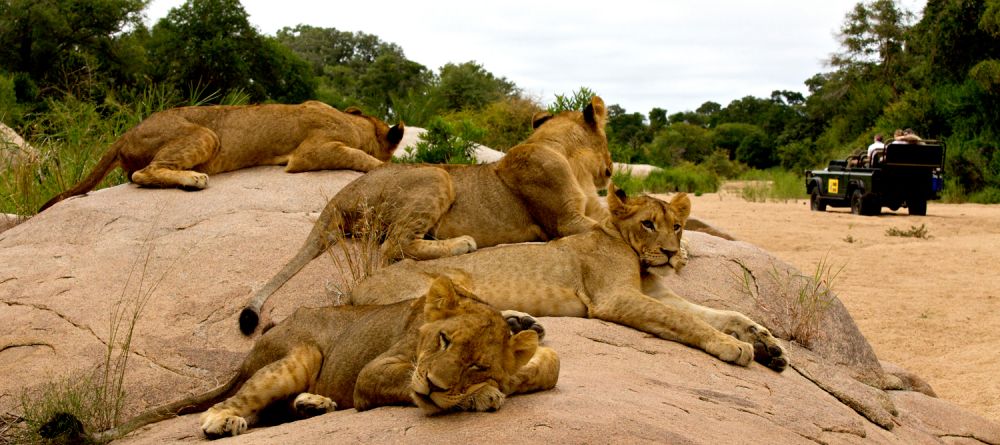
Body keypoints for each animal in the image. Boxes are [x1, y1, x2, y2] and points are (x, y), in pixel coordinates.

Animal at [38, 101, 406, 212]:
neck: (358, 123)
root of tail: (125, 134)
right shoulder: (308, 153)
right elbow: (359, 157)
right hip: (205, 135)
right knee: (142, 174)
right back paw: (192, 179)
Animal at [39, 278, 560, 440]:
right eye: (443, 341)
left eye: (477, 363)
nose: (434, 384)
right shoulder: (374, 373)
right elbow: (406, 387)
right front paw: (480, 397)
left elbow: (550, 365)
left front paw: (522, 334)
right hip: (303, 351)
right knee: (240, 403)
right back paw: (221, 421)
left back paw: (313, 405)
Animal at [238, 95, 612, 334]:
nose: (610, 171)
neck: (571, 159)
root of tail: (342, 195)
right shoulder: (565, 222)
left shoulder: (589, 211)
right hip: (437, 175)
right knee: (394, 246)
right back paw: (462, 244)